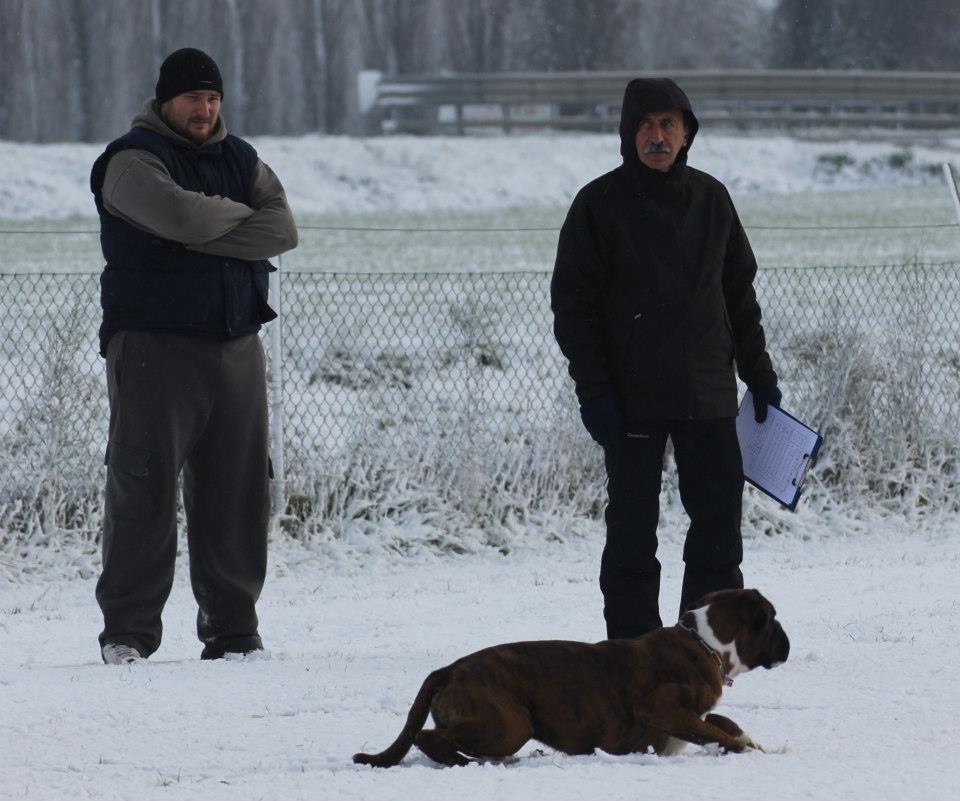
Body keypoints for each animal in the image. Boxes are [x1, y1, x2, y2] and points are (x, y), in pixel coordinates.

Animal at [352, 584, 788, 764]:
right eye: (771, 620)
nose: (787, 641)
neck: (705, 643)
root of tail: (449, 670)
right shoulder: (662, 709)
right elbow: (715, 732)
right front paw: (744, 750)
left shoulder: (696, 712)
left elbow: (723, 722)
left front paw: (755, 742)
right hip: (511, 724)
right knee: (427, 737)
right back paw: (466, 762)